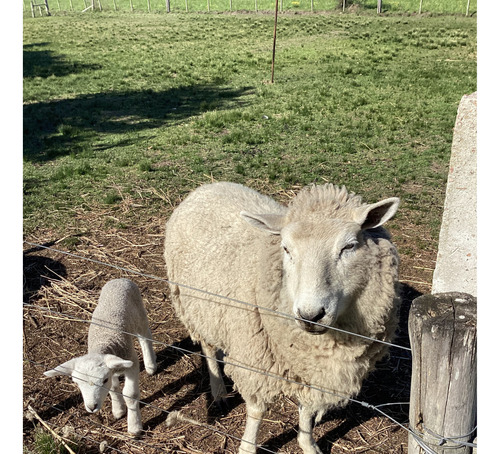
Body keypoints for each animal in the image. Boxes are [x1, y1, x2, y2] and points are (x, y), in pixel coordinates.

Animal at [46, 276, 158, 436]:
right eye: (77, 383)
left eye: (103, 380)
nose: (92, 407)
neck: (103, 343)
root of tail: (119, 279)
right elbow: (114, 388)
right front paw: (118, 410)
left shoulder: (132, 361)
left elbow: (130, 395)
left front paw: (134, 427)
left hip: (139, 313)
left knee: (145, 336)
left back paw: (150, 365)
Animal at [164, 182, 402, 454]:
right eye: (286, 248)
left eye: (349, 246)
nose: (311, 315)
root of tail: (210, 185)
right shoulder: (256, 360)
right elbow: (257, 410)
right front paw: (247, 447)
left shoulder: (312, 371)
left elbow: (307, 411)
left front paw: (308, 443)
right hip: (196, 307)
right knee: (208, 348)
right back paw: (218, 392)